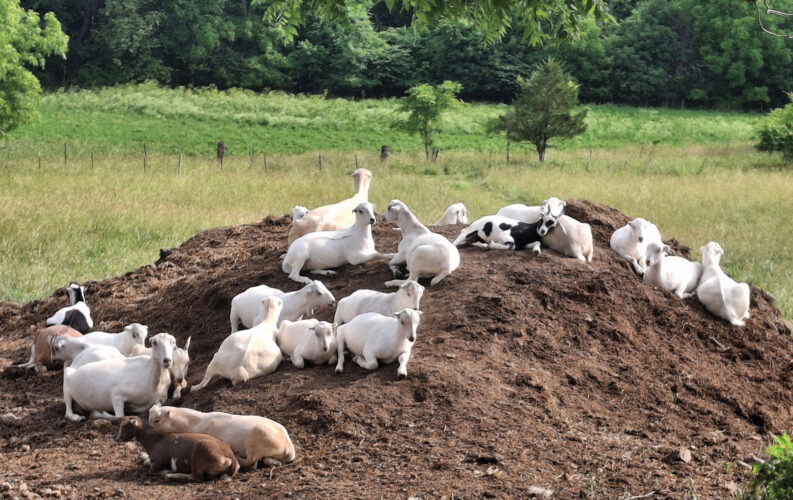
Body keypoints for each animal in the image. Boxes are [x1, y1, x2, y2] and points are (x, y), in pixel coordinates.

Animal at [149, 405, 295, 469]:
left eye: (156, 420)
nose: (149, 428)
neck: (195, 422)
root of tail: (288, 446)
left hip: (255, 442)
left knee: (250, 461)